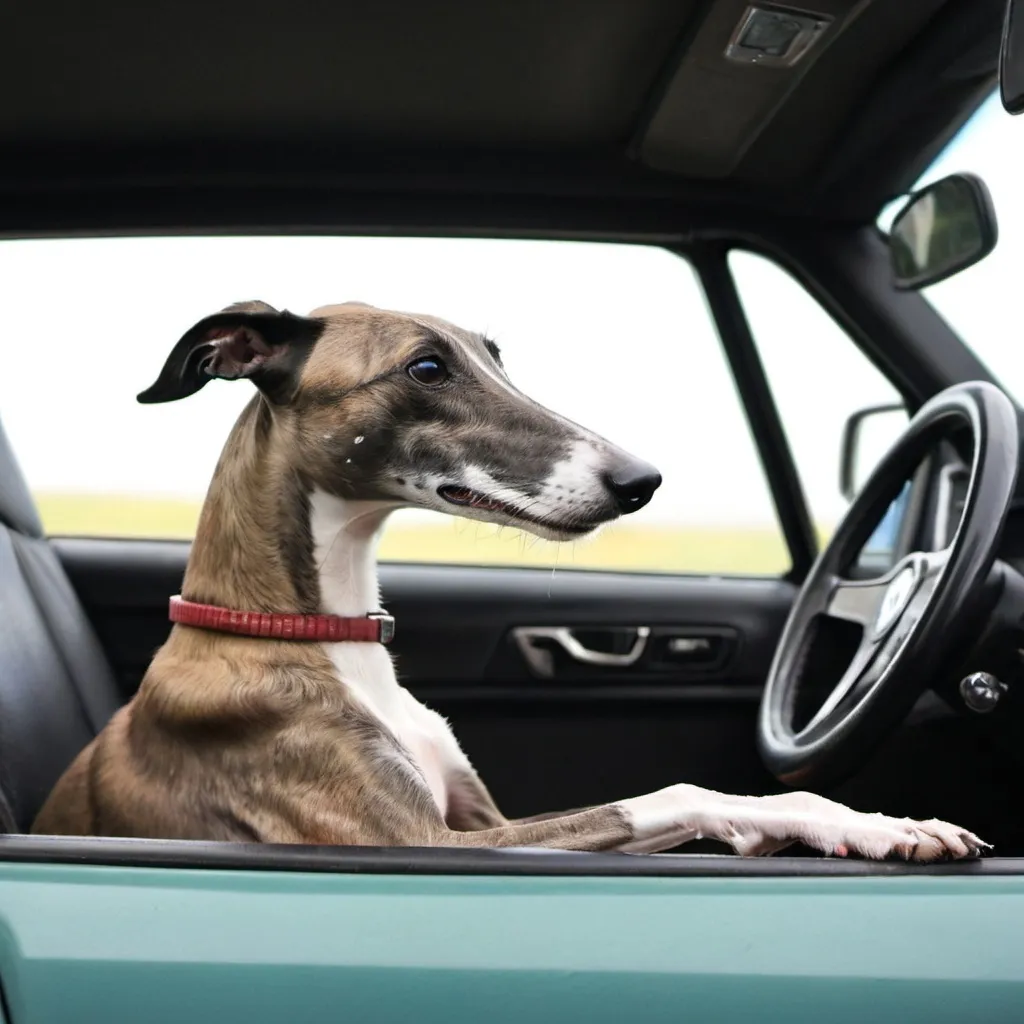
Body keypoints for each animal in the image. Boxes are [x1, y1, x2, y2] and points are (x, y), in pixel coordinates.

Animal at [36, 299, 987, 860]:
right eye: (426, 367)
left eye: (497, 356)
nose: (642, 480)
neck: (320, 632)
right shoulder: (426, 846)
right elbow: (676, 792)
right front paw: (880, 824)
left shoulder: (484, 821)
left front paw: (875, 819)